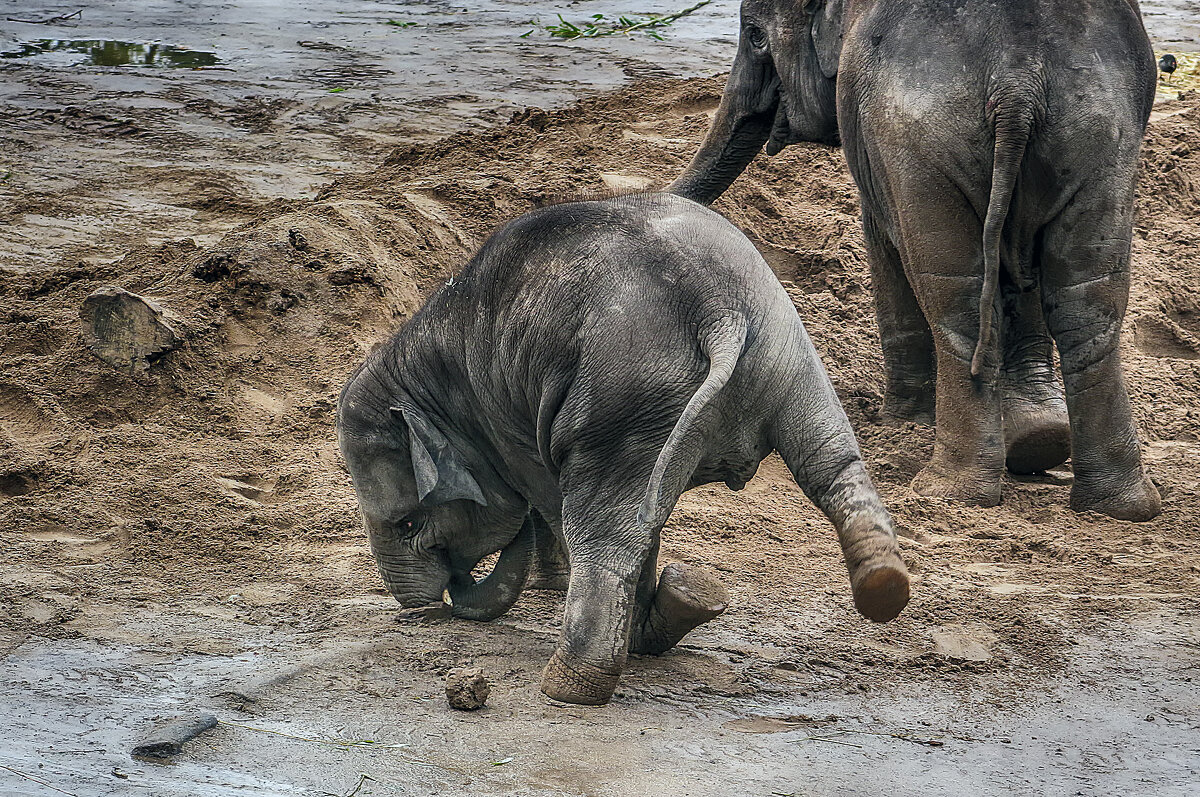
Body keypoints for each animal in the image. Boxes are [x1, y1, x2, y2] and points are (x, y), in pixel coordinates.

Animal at [338, 193, 907, 705]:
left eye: (407, 524)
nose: (429, 610)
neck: (415, 365)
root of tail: (717, 307)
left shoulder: (499, 416)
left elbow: (546, 494)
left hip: (624, 398)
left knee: (602, 529)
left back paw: (568, 686)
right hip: (787, 356)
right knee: (831, 464)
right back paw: (880, 586)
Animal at [672, 0, 1156, 520]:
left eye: (756, 36)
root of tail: (1018, 82)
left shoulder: (872, 144)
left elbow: (886, 244)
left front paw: (901, 423)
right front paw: (1034, 434)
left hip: (922, 143)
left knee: (955, 297)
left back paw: (948, 491)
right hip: (1100, 141)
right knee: (1086, 302)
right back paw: (1116, 503)